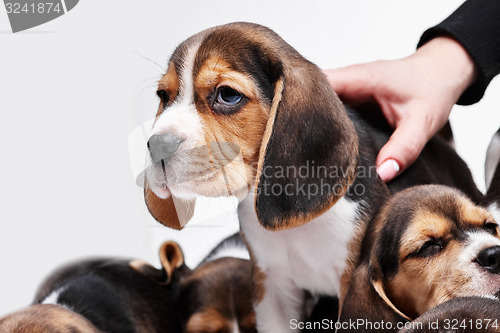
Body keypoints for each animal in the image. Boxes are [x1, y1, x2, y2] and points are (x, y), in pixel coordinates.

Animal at [144, 22, 480, 330]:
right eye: (163, 95)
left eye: (227, 95)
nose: (156, 145)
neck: (300, 230)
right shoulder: (273, 287)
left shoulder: (350, 283)